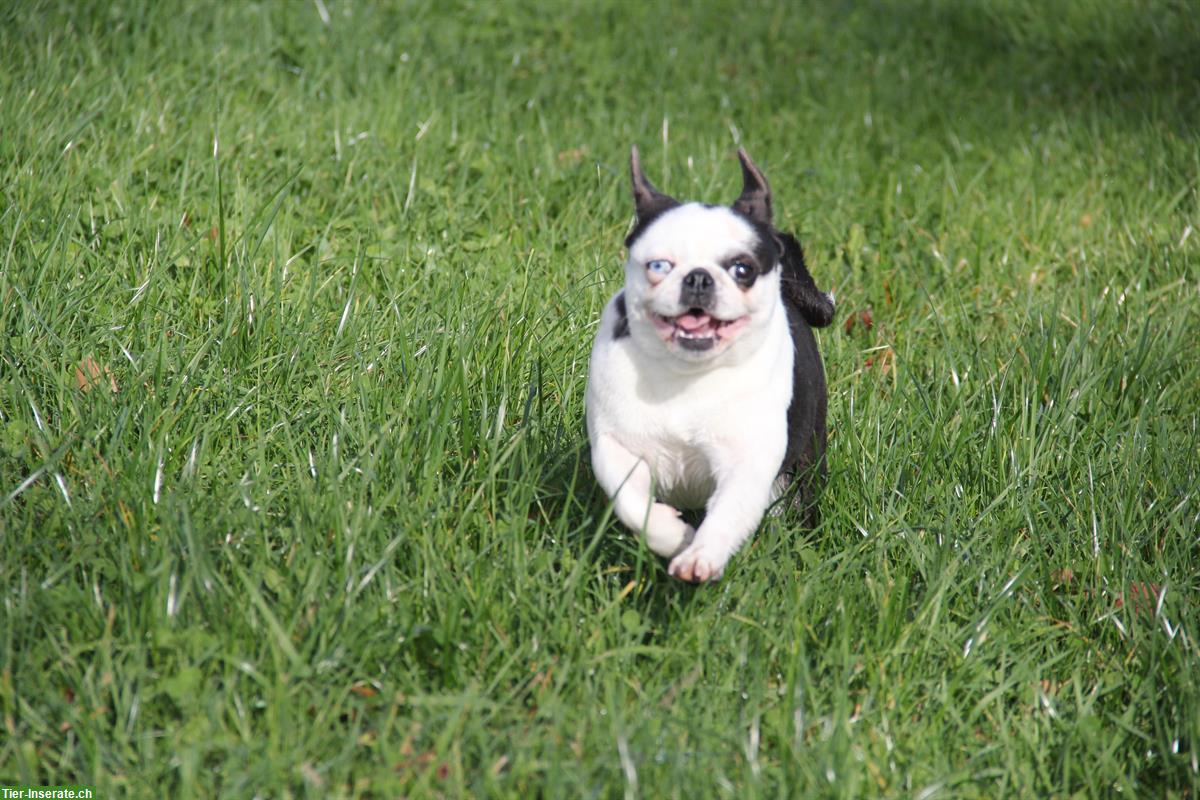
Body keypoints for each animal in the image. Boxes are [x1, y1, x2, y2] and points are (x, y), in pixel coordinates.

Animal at [583, 146, 830, 582]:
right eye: (658, 266)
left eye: (742, 269)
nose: (698, 277)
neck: (687, 373)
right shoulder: (617, 446)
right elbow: (629, 498)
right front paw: (672, 535)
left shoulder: (747, 462)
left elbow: (728, 514)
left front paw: (701, 555)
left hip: (808, 457)